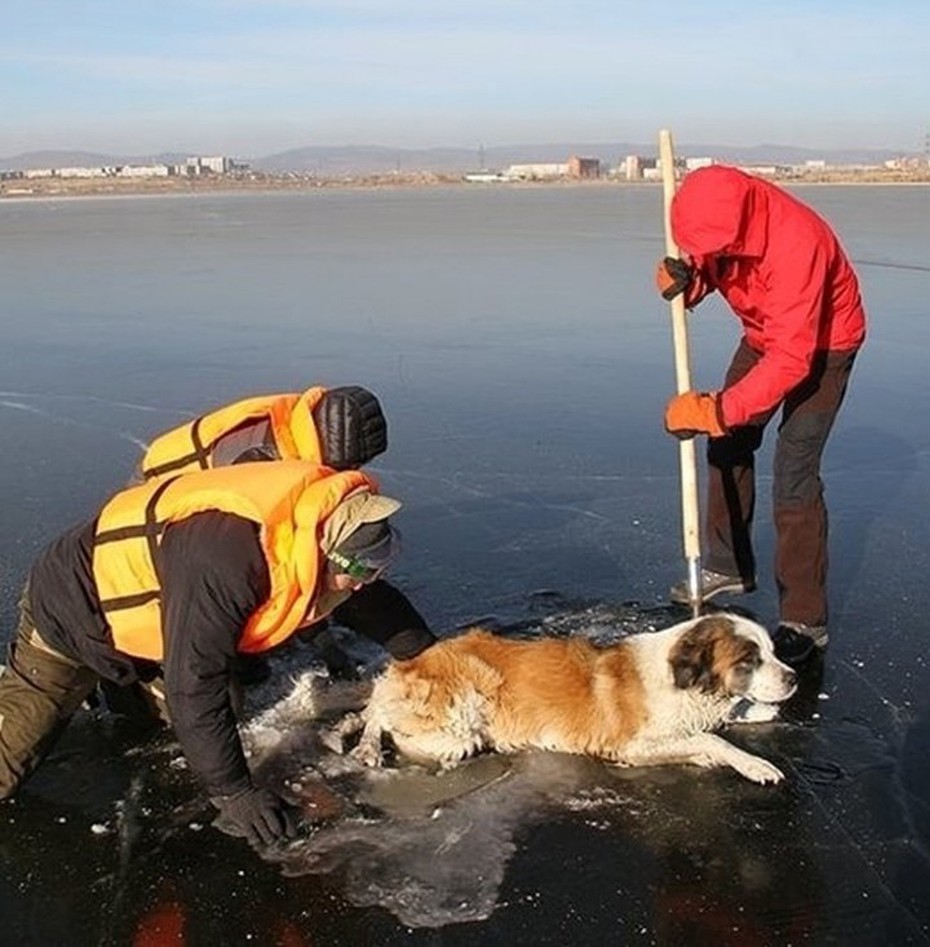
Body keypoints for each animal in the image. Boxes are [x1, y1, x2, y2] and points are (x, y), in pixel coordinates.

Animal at [330, 616, 792, 784]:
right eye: (749, 660)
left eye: (772, 652)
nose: (794, 678)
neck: (682, 678)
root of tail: (412, 659)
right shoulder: (630, 745)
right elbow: (712, 738)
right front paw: (754, 765)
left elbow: (716, 725)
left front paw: (758, 710)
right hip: (457, 725)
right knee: (381, 716)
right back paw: (368, 746)